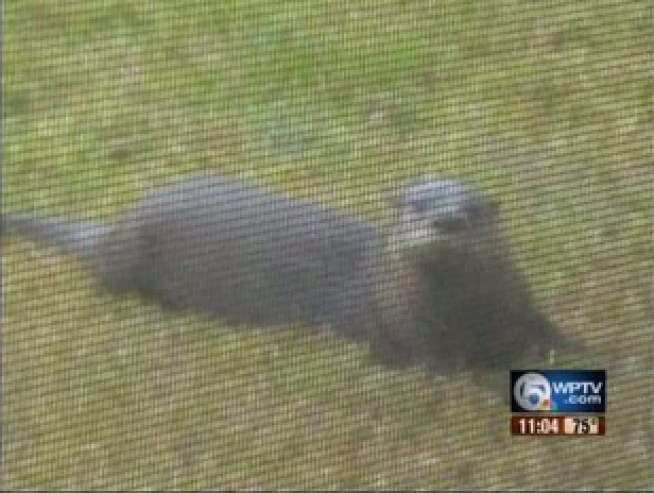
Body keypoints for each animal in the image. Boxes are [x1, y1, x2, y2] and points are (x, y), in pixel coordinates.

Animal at [2, 172, 576, 372]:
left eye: (474, 210)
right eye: (416, 205)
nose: (447, 219)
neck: (469, 315)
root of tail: (114, 227)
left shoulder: (519, 306)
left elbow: (546, 327)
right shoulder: (407, 330)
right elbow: (441, 366)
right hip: (130, 263)